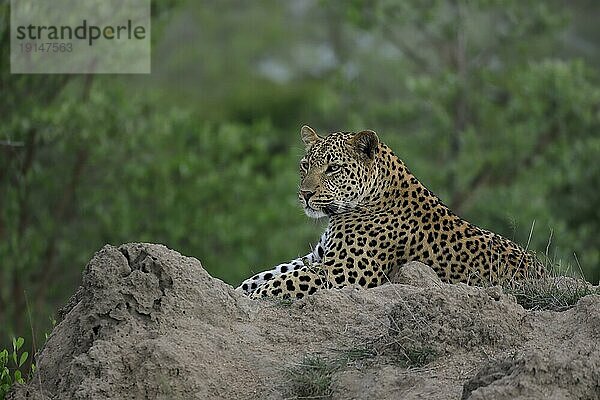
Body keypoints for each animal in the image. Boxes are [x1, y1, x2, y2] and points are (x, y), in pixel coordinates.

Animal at [236, 126, 544, 298]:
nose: (305, 194)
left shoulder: (345, 269)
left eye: (333, 168)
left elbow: (283, 282)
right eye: (305, 165)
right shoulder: (318, 256)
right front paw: (239, 292)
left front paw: (254, 299)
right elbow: (267, 274)